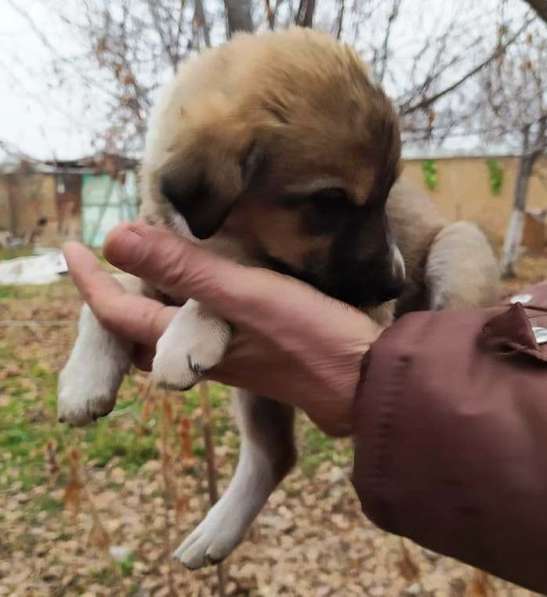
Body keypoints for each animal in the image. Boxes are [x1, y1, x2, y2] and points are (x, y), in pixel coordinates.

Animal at [57, 28, 498, 568]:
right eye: (329, 202)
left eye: (386, 195)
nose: (395, 284)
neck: (214, 235)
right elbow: (102, 301)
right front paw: (84, 379)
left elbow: (243, 271)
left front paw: (188, 333)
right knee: (275, 455)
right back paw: (217, 531)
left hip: (459, 245)